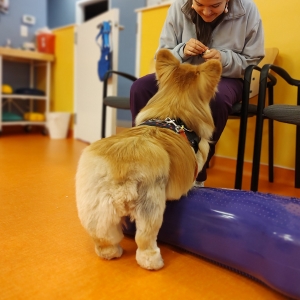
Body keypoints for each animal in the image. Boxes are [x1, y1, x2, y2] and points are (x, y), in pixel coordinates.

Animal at [75, 49, 220, 270]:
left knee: (104, 238)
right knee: (144, 240)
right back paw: (153, 262)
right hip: (150, 206)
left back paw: (112, 253)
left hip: (96, 208)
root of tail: (119, 172)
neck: (174, 112)